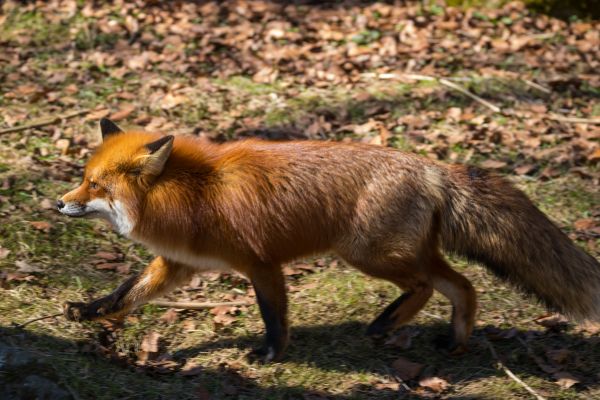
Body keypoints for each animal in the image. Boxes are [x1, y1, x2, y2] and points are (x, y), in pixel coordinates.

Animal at [57, 119, 600, 362]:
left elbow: (273, 315)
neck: (194, 194)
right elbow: (125, 294)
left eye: (95, 186)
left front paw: (270, 354)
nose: (59, 203)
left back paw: (388, 324)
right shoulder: (177, 264)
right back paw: (453, 339)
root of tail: (431, 167)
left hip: (367, 254)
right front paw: (89, 312)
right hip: (403, 253)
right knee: (464, 286)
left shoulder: (262, 264)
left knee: (429, 286)